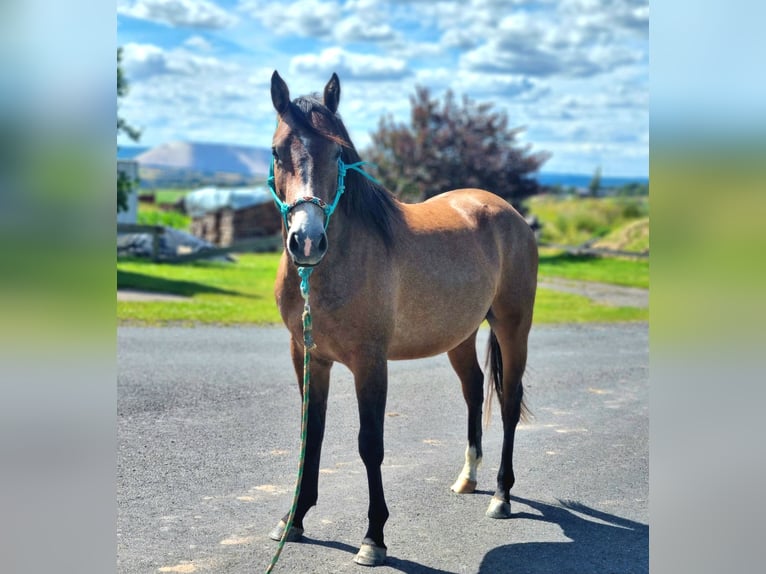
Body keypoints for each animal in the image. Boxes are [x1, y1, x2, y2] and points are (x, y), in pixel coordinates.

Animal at [270, 71, 540, 568]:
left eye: (337, 153)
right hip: (460, 336)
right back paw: (468, 478)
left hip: (514, 328)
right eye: (279, 151)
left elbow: (370, 444)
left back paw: (501, 496)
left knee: (508, 402)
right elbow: (310, 436)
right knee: (474, 391)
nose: (307, 241)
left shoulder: (370, 363)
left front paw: (373, 537)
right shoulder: (308, 356)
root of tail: (506, 211)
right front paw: (294, 519)